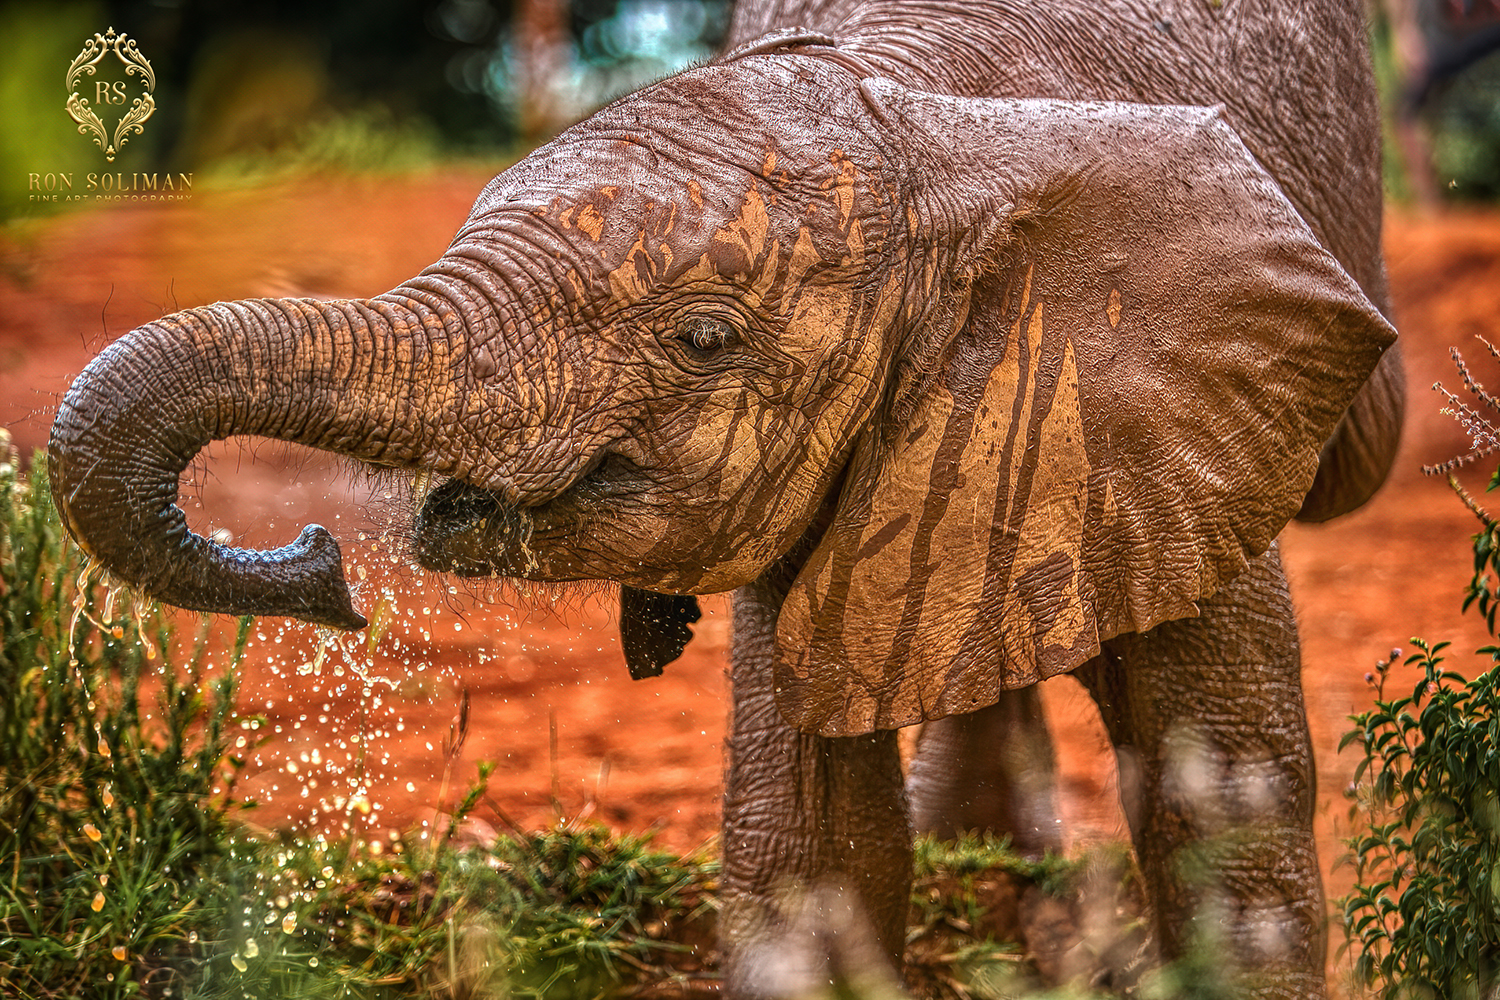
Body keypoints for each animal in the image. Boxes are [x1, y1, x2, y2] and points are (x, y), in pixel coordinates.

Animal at [49, 3, 1404, 995]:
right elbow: (810, 841)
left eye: (703, 338)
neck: (923, 118)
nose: (326, 564)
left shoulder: (1188, 409)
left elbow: (1225, 816)